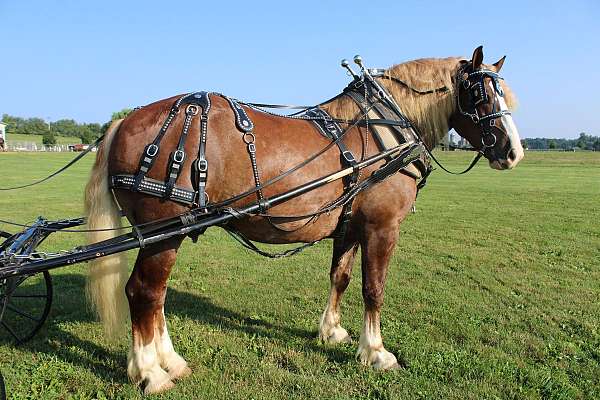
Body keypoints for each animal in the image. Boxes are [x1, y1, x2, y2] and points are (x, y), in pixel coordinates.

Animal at [82, 47, 524, 394]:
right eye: (480, 95)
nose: (513, 152)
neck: (385, 130)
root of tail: (124, 121)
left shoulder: (350, 226)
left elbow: (340, 278)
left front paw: (332, 332)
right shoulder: (381, 228)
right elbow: (373, 289)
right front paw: (376, 351)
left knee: (156, 297)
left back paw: (170, 361)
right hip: (161, 234)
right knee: (144, 293)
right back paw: (150, 372)